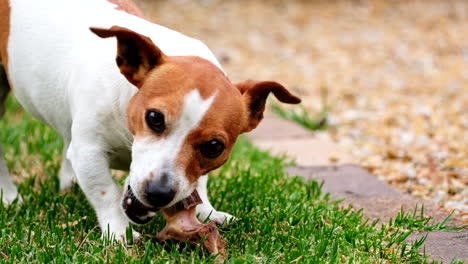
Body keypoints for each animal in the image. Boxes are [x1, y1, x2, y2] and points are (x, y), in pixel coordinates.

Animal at [0, 0, 300, 242]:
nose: (158, 193)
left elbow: (199, 184)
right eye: (154, 118)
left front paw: (207, 211)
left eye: (214, 147)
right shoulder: (89, 152)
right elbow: (105, 191)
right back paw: (9, 196)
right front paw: (119, 232)